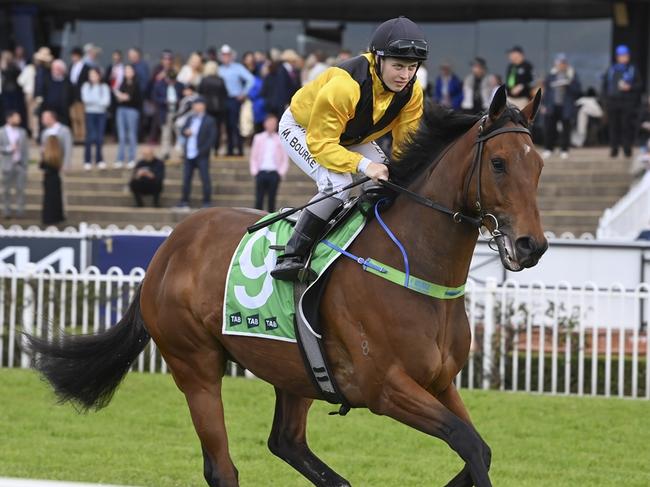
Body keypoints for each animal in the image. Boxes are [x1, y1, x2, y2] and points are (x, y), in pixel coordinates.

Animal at [25, 86, 544, 486]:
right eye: (499, 163)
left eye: (537, 165)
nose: (531, 245)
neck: (412, 265)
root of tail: (169, 247)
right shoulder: (385, 388)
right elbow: (468, 443)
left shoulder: (440, 383)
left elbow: (478, 450)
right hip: (195, 364)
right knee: (222, 468)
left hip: (295, 368)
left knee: (287, 442)